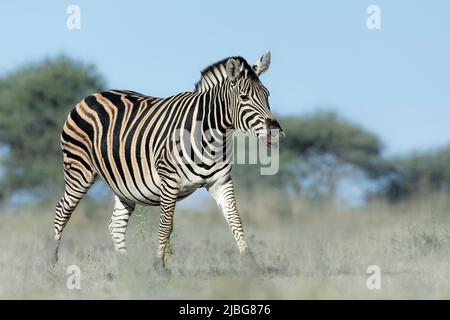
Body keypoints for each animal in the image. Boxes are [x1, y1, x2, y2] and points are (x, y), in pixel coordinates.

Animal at [52, 52, 284, 272]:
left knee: (115, 225)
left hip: (123, 184)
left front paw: (251, 265)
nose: (275, 132)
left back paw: (128, 271)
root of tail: (90, 96)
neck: (211, 134)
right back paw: (52, 265)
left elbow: (235, 219)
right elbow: (166, 224)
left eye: (267, 95)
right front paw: (159, 267)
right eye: (244, 97)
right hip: (79, 170)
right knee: (62, 211)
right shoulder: (169, 179)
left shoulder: (220, 182)